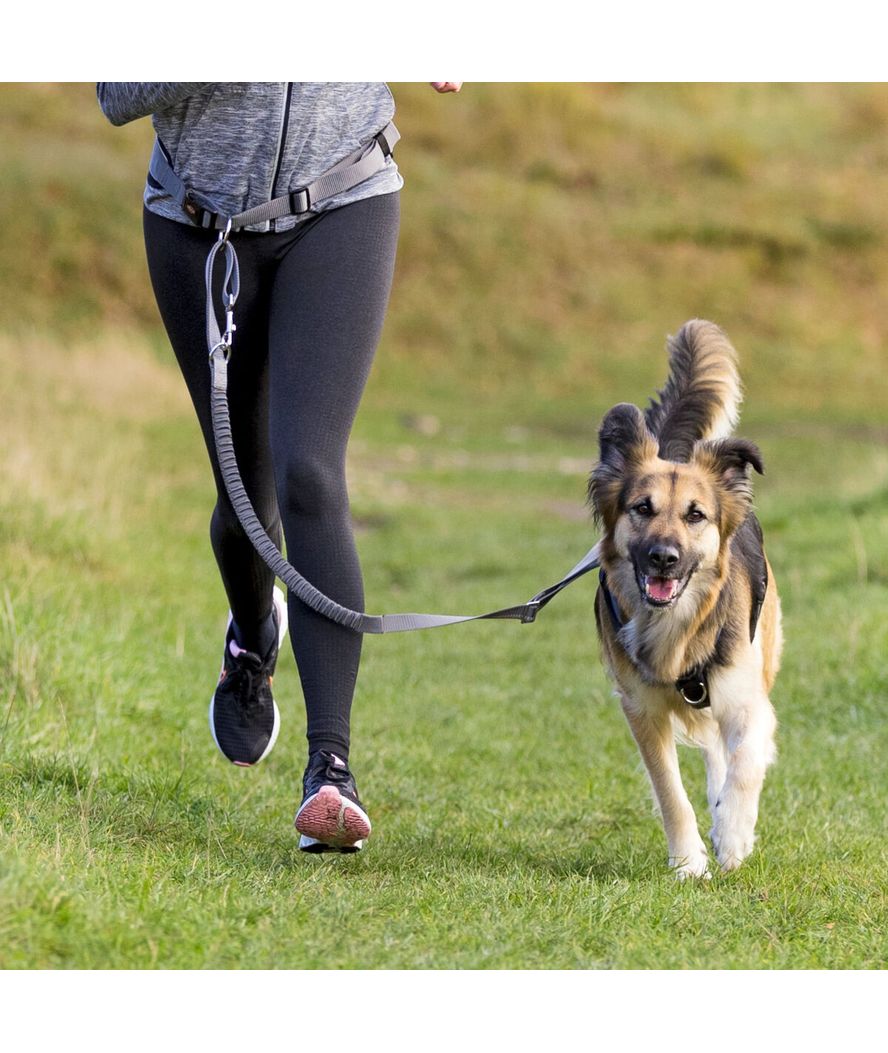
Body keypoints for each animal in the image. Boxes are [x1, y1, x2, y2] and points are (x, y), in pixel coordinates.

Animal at [594, 320, 779, 880]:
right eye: (642, 508)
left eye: (696, 515)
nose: (664, 558)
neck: (675, 624)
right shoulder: (642, 709)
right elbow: (670, 791)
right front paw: (689, 862)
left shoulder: (748, 699)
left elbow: (746, 765)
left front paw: (734, 835)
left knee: (727, 750)